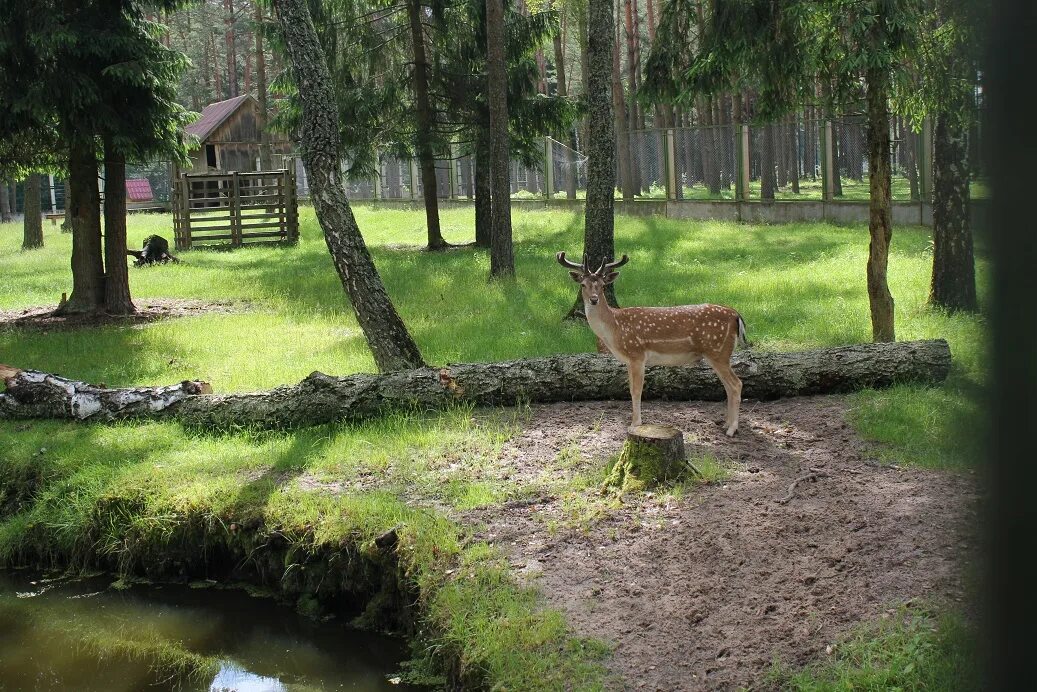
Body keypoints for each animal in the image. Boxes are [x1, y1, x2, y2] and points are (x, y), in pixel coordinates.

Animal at [555, 254, 750, 435]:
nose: (594, 299)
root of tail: (736, 315)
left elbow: (636, 390)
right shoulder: (628, 360)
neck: (615, 328)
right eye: (583, 285)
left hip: (718, 351)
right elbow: (631, 389)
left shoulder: (637, 354)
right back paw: (726, 423)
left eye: (602, 285)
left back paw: (732, 428)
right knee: (728, 386)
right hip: (718, 354)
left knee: (736, 384)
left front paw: (635, 424)